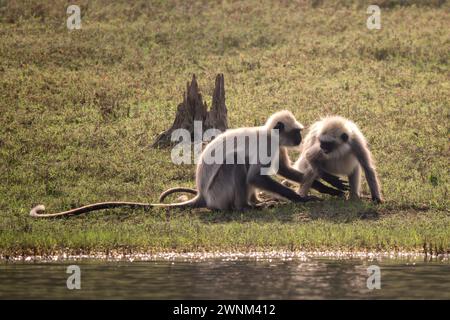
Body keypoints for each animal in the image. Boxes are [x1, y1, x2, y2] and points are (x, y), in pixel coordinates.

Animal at [29, 110, 344, 218]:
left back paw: (255, 203)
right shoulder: (265, 144)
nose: (300, 137)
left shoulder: (275, 146)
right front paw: (302, 199)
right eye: (297, 132)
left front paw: (329, 186)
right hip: (219, 191)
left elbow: (285, 171)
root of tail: (202, 194)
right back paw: (245, 207)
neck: (268, 134)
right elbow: (257, 175)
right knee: (237, 163)